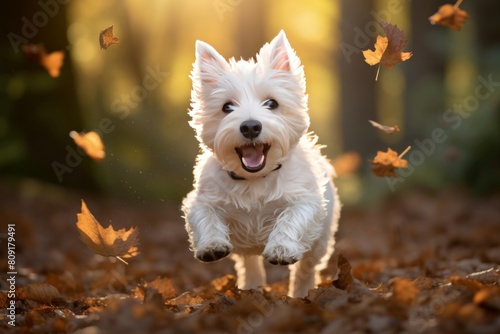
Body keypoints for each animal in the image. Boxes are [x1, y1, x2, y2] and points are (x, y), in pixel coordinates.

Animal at [182, 30, 342, 298]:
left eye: (272, 103)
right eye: (227, 106)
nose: (250, 126)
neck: (255, 179)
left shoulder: (306, 201)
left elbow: (291, 218)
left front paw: (281, 249)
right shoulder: (203, 200)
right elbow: (206, 215)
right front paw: (212, 245)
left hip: (321, 238)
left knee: (307, 267)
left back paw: (301, 293)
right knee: (249, 263)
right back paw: (251, 286)